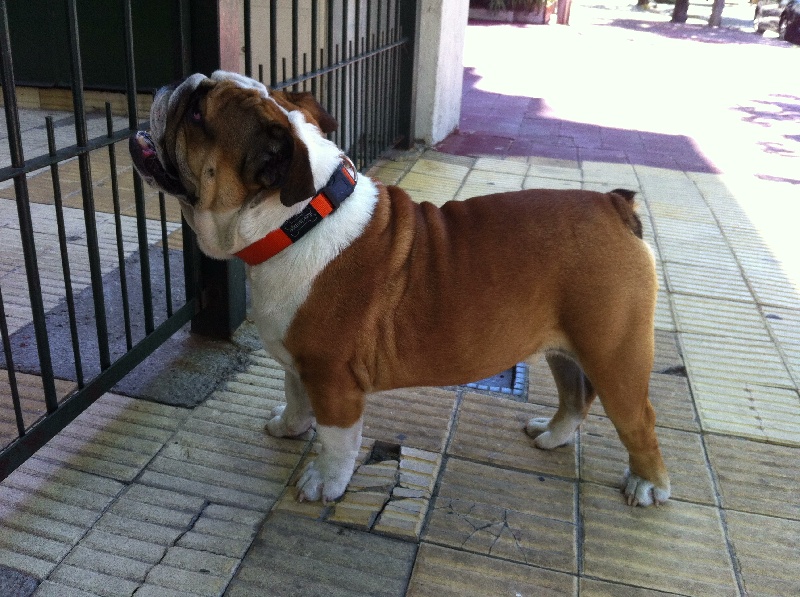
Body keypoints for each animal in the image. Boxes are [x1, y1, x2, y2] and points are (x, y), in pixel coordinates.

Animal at [130, 70, 670, 507]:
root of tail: (614, 205)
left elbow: (337, 440)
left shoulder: (333, 380)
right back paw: (552, 435)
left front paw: (323, 482)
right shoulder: (299, 363)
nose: (173, 83)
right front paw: (288, 427)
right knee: (575, 396)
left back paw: (648, 484)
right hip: (565, 344)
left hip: (614, 353)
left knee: (638, 420)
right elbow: (295, 396)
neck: (297, 220)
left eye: (197, 111)